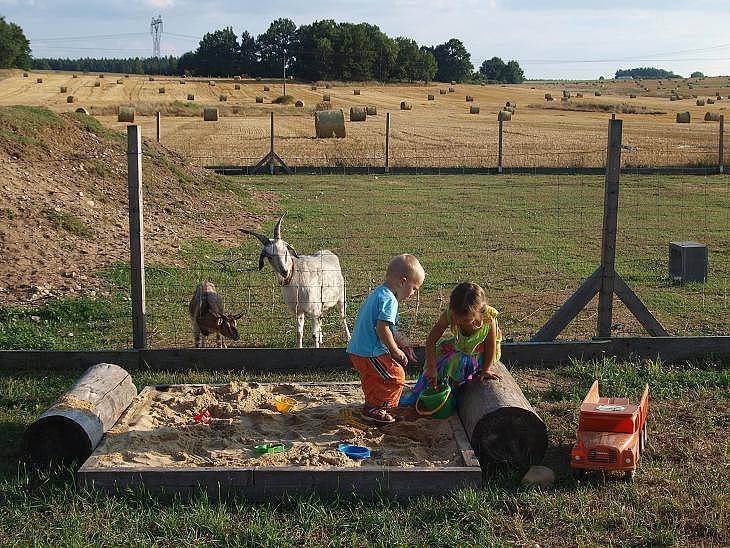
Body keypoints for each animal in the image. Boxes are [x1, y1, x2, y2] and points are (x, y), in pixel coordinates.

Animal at [242, 214, 350, 346]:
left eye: (285, 251)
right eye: (270, 257)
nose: (284, 271)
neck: (294, 277)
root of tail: (328, 252)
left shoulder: (313, 310)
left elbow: (313, 335)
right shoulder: (298, 311)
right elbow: (299, 334)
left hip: (341, 297)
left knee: (342, 317)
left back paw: (348, 337)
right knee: (321, 319)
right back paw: (322, 338)